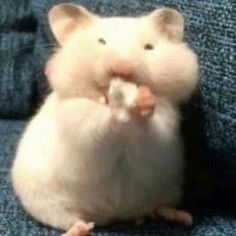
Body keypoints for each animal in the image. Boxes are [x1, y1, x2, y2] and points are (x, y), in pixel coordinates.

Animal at [12, 3, 198, 236]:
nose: (122, 69)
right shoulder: (77, 119)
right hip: (42, 200)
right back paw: (81, 229)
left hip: (168, 189)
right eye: (101, 42)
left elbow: (151, 130)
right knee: (68, 218)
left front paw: (144, 99)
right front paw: (115, 109)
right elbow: (97, 124)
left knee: (158, 207)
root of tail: (111, 215)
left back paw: (184, 217)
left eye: (148, 47)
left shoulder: (166, 122)